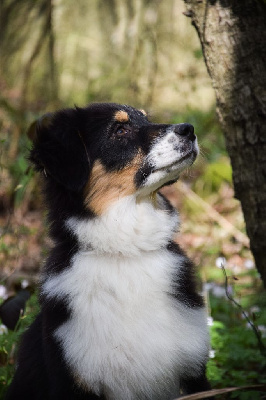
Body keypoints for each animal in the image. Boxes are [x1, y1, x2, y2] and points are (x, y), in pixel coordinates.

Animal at [6, 104, 212, 400]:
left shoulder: (193, 372)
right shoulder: (75, 379)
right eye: (120, 130)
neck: (126, 254)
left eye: (146, 118)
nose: (189, 129)